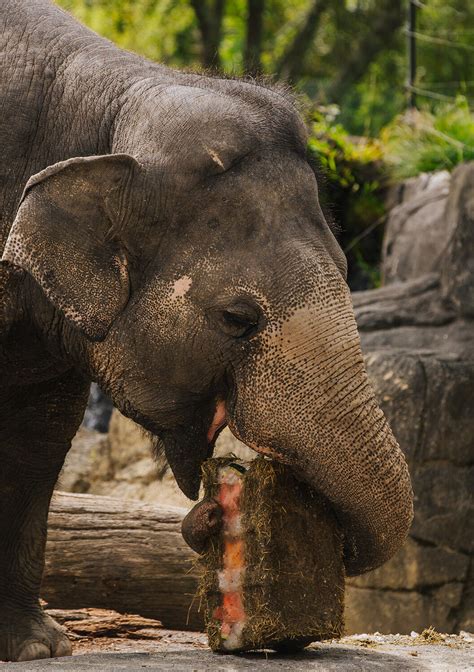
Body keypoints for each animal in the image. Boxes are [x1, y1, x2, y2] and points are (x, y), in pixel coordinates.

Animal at [0, 0, 413, 662]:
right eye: (237, 318)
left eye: (350, 270)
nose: (210, 514)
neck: (109, 103)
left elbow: (38, 436)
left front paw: (38, 648)